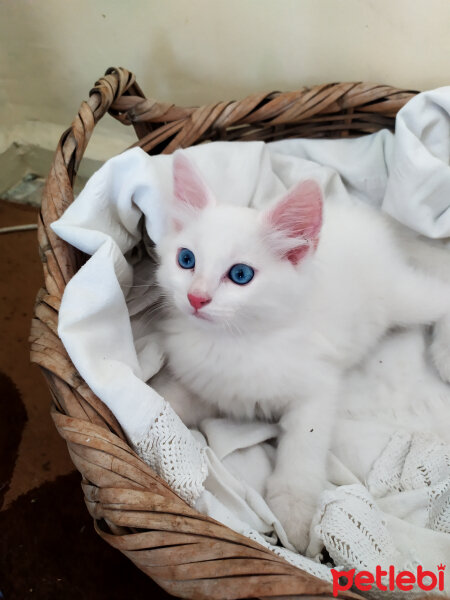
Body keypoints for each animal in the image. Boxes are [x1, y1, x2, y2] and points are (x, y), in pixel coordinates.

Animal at [153, 151, 450, 552]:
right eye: (186, 260)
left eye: (241, 275)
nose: (196, 297)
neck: (236, 339)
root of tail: (370, 218)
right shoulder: (210, 384)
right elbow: (171, 398)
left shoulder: (317, 390)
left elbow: (302, 450)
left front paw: (293, 513)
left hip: (398, 297)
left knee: (441, 294)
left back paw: (444, 354)